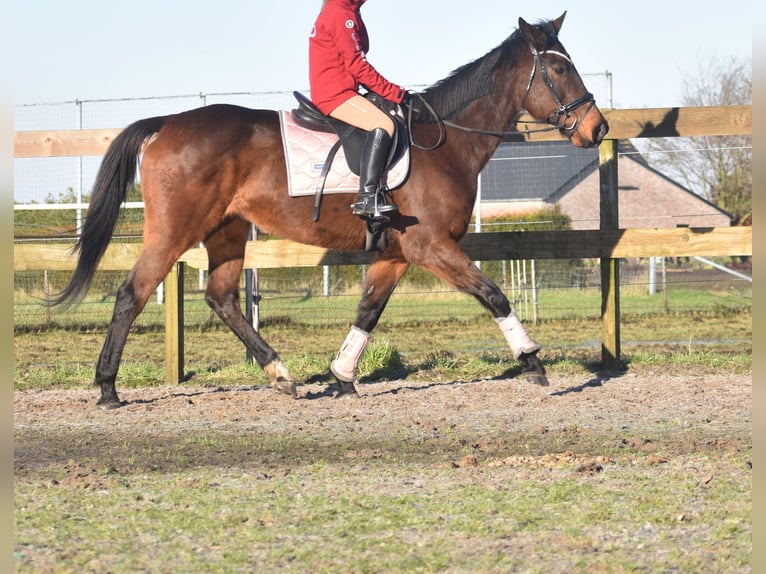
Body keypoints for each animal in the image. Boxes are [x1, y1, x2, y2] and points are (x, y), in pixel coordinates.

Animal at [51, 13, 608, 410]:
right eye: (559, 68)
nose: (597, 128)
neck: (444, 142)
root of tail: (167, 122)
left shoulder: (398, 253)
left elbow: (368, 311)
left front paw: (342, 377)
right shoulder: (431, 246)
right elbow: (493, 294)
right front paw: (532, 361)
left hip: (227, 230)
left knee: (222, 297)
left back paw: (280, 374)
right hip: (174, 230)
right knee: (133, 293)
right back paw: (107, 389)